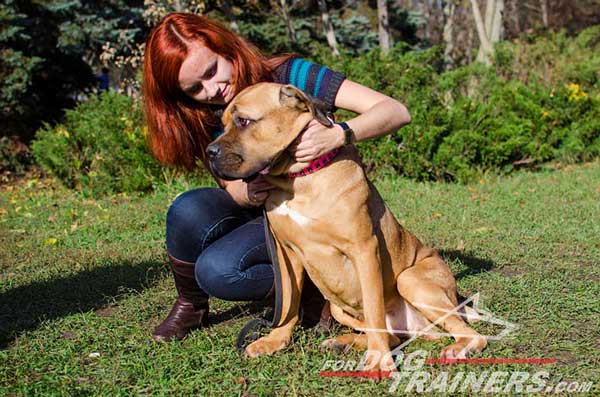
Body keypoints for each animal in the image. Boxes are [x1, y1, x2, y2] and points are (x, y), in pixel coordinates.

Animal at [207, 82, 488, 370]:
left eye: (244, 121)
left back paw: (455, 348)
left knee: (470, 334)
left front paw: (379, 361)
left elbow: (374, 310)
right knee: (393, 336)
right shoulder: (286, 254)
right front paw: (276, 339)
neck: (300, 178)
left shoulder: (364, 250)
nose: (209, 152)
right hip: (337, 308)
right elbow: (287, 303)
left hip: (411, 280)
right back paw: (342, 342)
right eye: (223, 123)